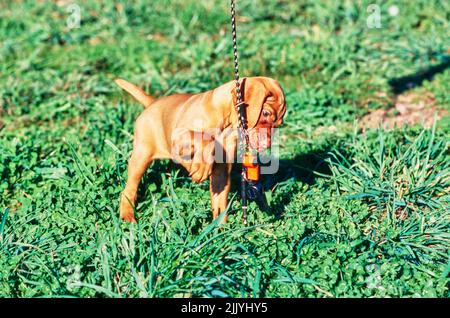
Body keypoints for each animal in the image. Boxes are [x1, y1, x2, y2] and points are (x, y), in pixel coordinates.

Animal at [116, 76, 284, 222]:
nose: (267, 144)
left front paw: (221, 230)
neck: (225, 121)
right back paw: (127, 216)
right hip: (141, 156)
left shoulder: (221, 171)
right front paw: (201, 167)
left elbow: (219, 202)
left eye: (278, 124)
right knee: (128, 190)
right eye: (265, 113)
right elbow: (205, 138)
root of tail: (153, 103)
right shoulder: (178, 138)